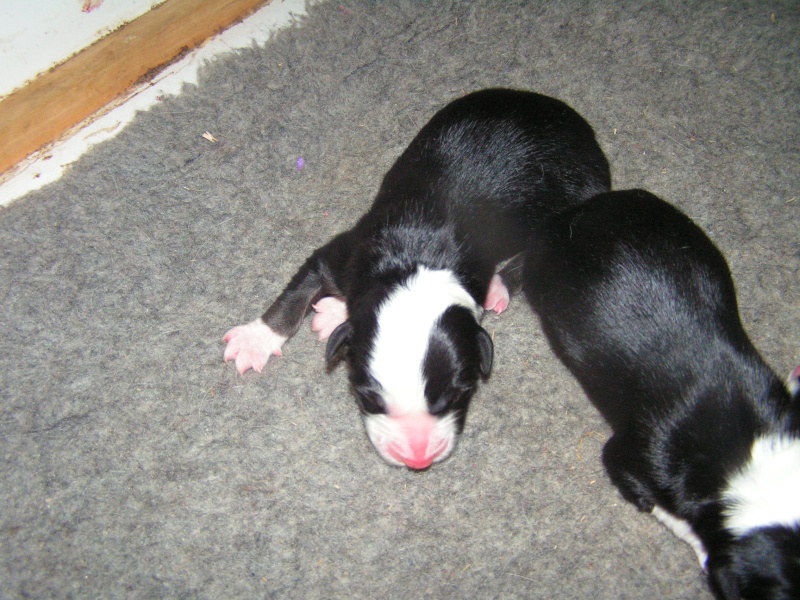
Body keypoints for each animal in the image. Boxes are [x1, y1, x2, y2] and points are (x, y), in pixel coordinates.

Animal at [222, 90, 608, 474]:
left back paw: (499, 286)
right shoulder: (343, 256)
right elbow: (293, 297)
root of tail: (579, 127)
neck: (418, 259)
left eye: (459, 394)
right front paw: (255, 339)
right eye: (367, 397)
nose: (417, 458)